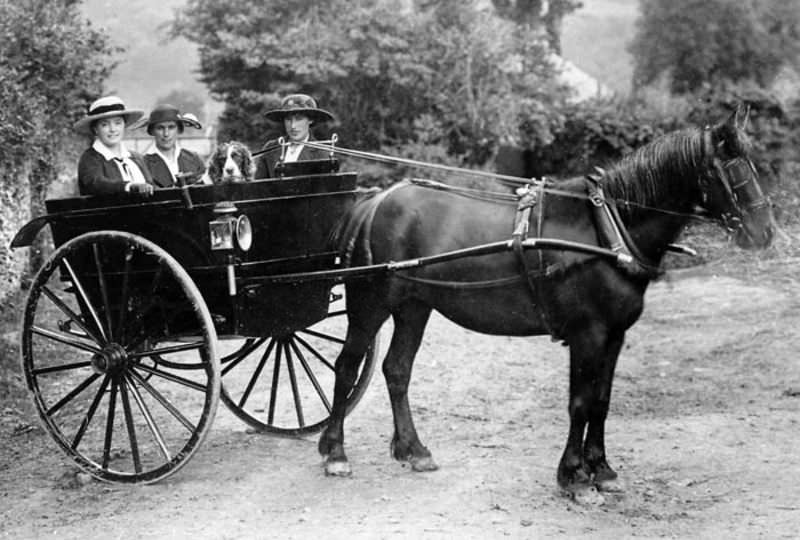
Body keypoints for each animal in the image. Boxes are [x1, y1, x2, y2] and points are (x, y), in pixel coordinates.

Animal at [318, 107, 776, 504]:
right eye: (723, 170)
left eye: (751, 163)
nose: (764, 232)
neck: (606, 230)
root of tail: (375, 201)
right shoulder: (588, 335)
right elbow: (580, 403)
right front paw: (573, 476)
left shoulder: (614, 336)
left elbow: (602, 401)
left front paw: (602, 470)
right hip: (370, 306)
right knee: (346, 368)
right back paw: (336, 453)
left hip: (414, 307)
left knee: (397, 371)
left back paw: (413, 450)